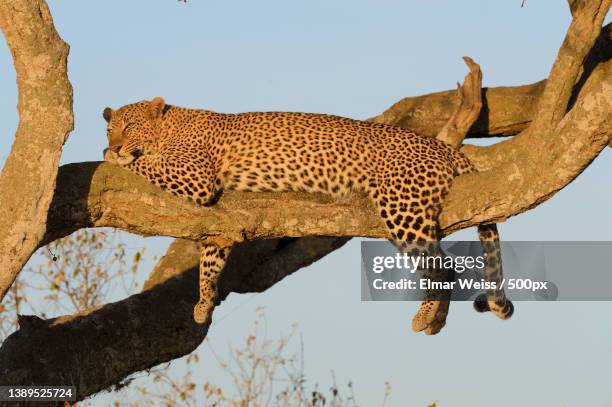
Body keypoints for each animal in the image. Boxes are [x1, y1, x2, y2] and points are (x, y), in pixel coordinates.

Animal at [103, 97, 512, 336]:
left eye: (130, 126)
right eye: (110, 128)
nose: (115, 144)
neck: (169, 124)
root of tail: (441, 145)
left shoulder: (196, 176)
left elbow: (148, 164)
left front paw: (114, 158)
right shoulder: (219, 226)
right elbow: (210, 259)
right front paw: (203, 303)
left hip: (402, 206)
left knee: (442, 266)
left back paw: (426, 315)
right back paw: (437, 319)